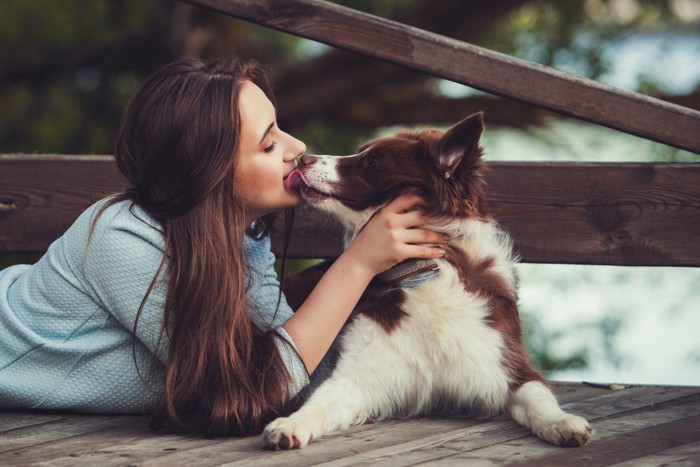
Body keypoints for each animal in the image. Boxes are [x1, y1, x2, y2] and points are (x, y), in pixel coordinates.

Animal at [262, 112, 592, 450]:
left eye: (375, 163)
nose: (303, 158)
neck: (418, 273)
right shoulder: (356, 373)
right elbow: (321, 400)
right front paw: (291, 423)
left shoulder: (508, 365)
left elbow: (538, 397)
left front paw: (561, 422)